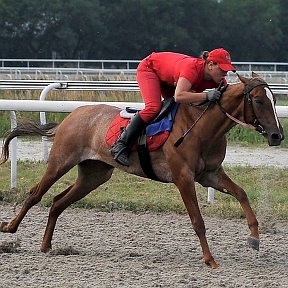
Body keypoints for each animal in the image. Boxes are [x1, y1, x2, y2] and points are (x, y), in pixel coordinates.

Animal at [0, 72, 284, 268]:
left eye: (274, 100)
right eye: (259, 100)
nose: (277, 135)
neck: (201, 127)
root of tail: (72, 116)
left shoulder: (210, 175)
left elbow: (242, 193)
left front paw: (254, 237)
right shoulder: (183, 178)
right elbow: (198, 221)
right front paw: (210, 259)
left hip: (94, 175)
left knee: (58, 201)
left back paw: (46, 245)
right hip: (60, 161)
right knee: (35, 194)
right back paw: (9, 228)